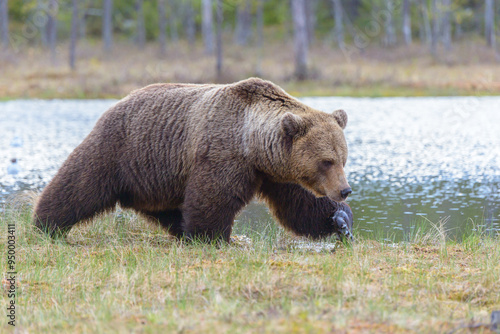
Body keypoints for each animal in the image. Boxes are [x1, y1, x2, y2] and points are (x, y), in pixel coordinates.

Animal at [33, 77, 354, 241]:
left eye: (342, 159)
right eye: (326, 160)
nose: (345, 190)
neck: (252, 145)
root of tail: (118, 101)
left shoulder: (277, 171)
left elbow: (301, 204)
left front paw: (339, 219)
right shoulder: (222, 154)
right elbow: (213, 198)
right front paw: (211, 237)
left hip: (156, 175)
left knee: (165, 207)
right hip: (121, 147)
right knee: (80, 183)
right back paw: (45, 223)